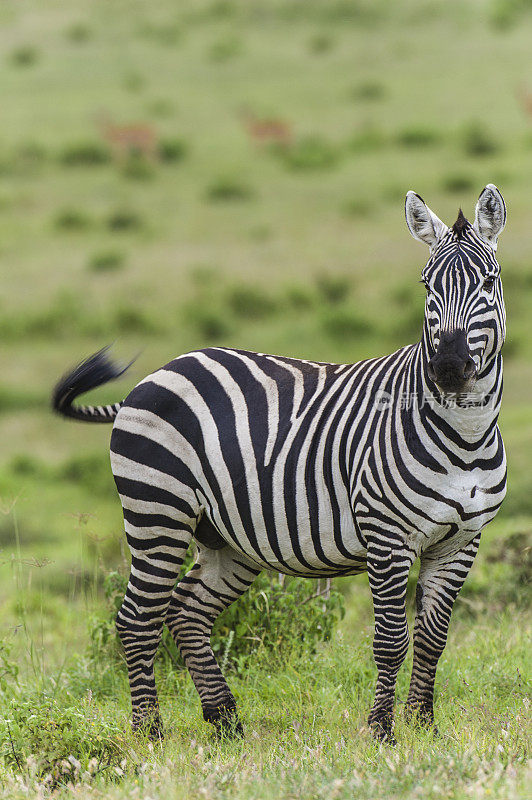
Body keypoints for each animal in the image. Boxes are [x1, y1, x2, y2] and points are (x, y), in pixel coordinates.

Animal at [53, 183, 508, 744]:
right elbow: (390, 640)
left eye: (489, 281)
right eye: (426, 285)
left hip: (225, 538)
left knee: (186, 613)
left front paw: (424, 726)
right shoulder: (388, 537)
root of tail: (158, 372)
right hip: (157, 512)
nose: (447, 368)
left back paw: (226, 720)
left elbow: (433, 638)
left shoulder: (462, 541)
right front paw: (382, 732)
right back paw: (149, 733)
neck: (466, 435)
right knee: (138, 619)